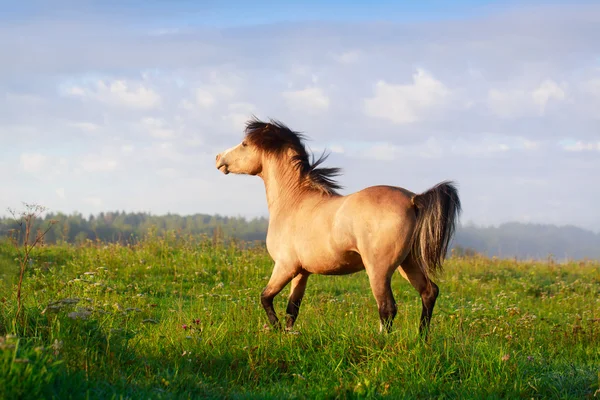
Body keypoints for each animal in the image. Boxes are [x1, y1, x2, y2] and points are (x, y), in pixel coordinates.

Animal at [217, 119, 464, 338]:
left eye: (245, 144)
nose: (218, 158)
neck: (294, 201)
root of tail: (413, 200)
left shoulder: (285, 266)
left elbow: (265, 297)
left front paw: (276, 329)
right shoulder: (301, 272)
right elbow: (292, 308)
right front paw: (288, 335)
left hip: (379, 269)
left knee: (387, 307)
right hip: (408, 262)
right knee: (428, 292)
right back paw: (421, 339)